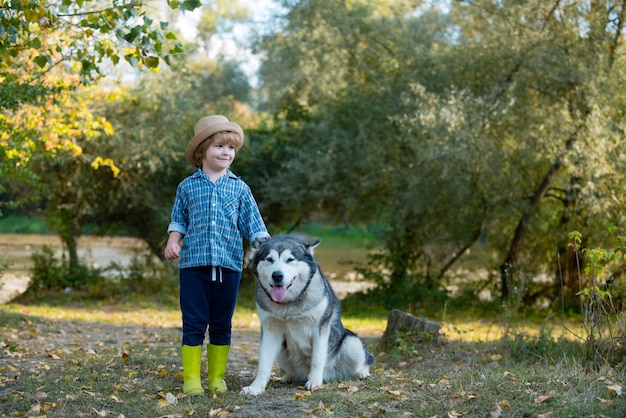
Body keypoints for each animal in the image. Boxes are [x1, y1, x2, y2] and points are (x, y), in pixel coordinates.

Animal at [241, 235, 372, 396]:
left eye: (290, 259)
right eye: (269, 259)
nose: (277, 275)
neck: (289, 304)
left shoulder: (320, 329)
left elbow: (317, 359)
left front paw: (314, 382)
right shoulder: (270, 330)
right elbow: (264, 364)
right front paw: (255, 387)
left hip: (352, 342)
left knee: (365, 359)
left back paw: (362, 372)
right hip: (282, 352)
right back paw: (289, 376)